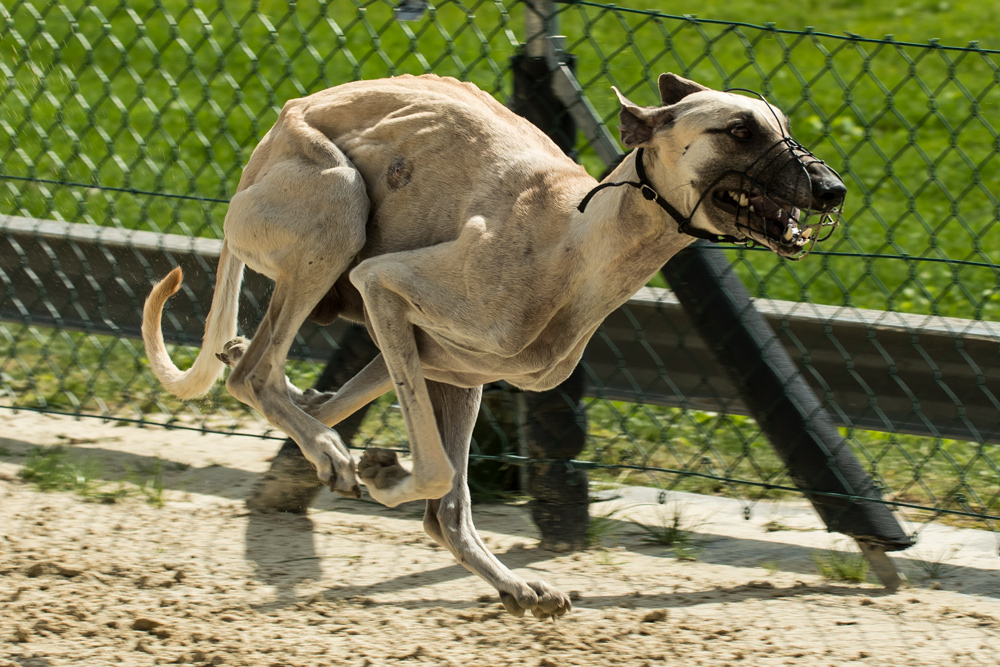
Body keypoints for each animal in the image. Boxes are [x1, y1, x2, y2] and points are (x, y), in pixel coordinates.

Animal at [143, 73, 844, 620]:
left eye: (781, 123)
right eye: (740, 130)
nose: (833, 188)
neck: (577, 241)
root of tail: (277, 128)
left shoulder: (442, 359)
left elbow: (446, 503)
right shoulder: (384, 284)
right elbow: (433, 471)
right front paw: (381, 471)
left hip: (436, 360)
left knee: (283, 388)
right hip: (337, 207)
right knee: (255, 376)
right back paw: (324, 442)